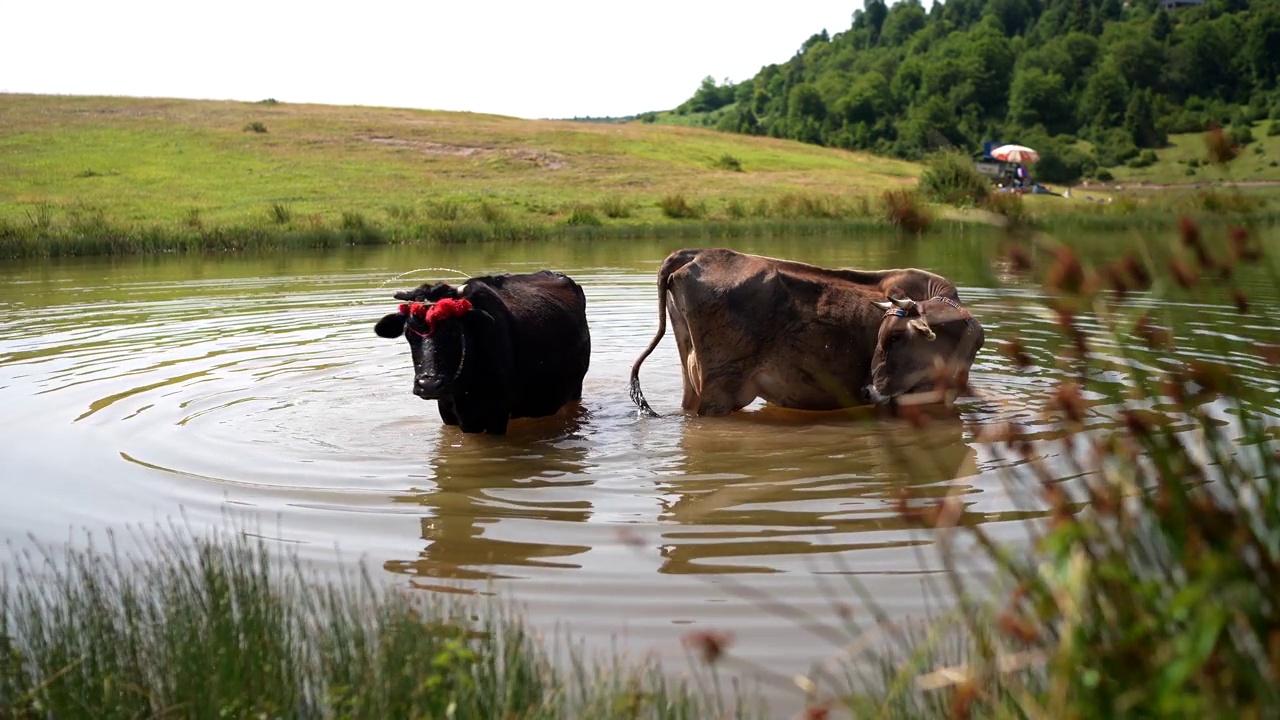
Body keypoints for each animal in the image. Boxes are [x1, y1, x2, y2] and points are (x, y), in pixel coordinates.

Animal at [371, 270, 588, 430]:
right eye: (409, 332)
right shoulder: (447, 412)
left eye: (454, 330)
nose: (429, 385)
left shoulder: (498, 412)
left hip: (576, 388)